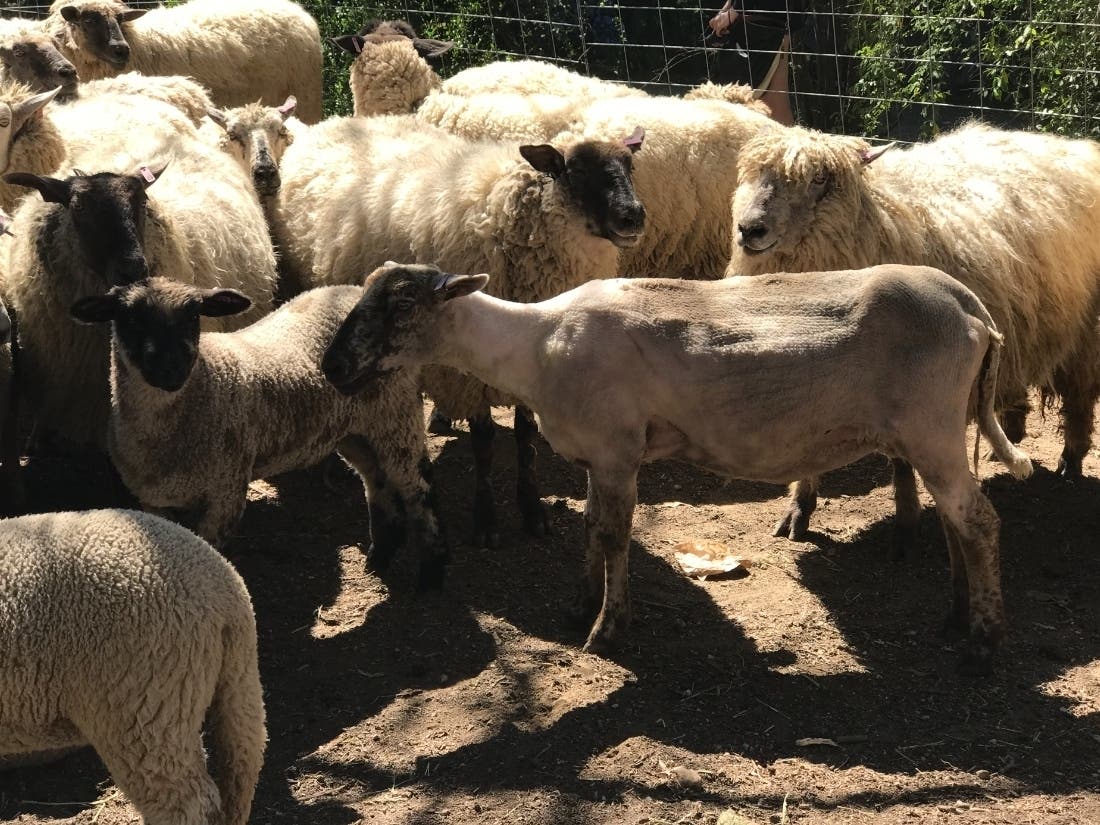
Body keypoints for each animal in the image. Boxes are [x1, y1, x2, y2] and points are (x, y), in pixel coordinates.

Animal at [69, 276, 449, 585]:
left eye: (193, 315)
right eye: (129, 317)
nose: (173, 368)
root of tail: (355, 290)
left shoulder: (226, 491)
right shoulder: (153, 501)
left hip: (396, 414)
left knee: (418, 487)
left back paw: (431, 573)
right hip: (354, 430)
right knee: (377, 481)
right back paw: (380, 556)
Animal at [271, 113, 646, 545]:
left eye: (630, 166)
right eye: (576, 170)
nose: (634, 216)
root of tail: (337, 120)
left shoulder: (526, 357)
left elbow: (525, 439)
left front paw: (532, 509)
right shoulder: (467, 373)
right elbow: (483, 445)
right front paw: (485, 518)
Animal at [322, 262, 1032, 673]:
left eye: (402, 305)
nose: (332, 367)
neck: (535, 345)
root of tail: (967, 304)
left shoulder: (617, 451)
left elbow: (614, 537)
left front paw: (608, 630)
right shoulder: (599, 452)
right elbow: (590, 531)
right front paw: (580, 606)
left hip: (932, 425)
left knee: (981, 521)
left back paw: (987, 637)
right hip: (931, 433)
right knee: (957, 523)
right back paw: (955, 615)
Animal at [728, 123, 1100, 540]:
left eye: (820, 178)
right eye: (755, 173)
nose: (749, 229)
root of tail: (1064, 144)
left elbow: (904, 460)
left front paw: (907, 515)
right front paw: (798, 508)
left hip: (1084, 330)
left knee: (1080, 396)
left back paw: (1071, 459)